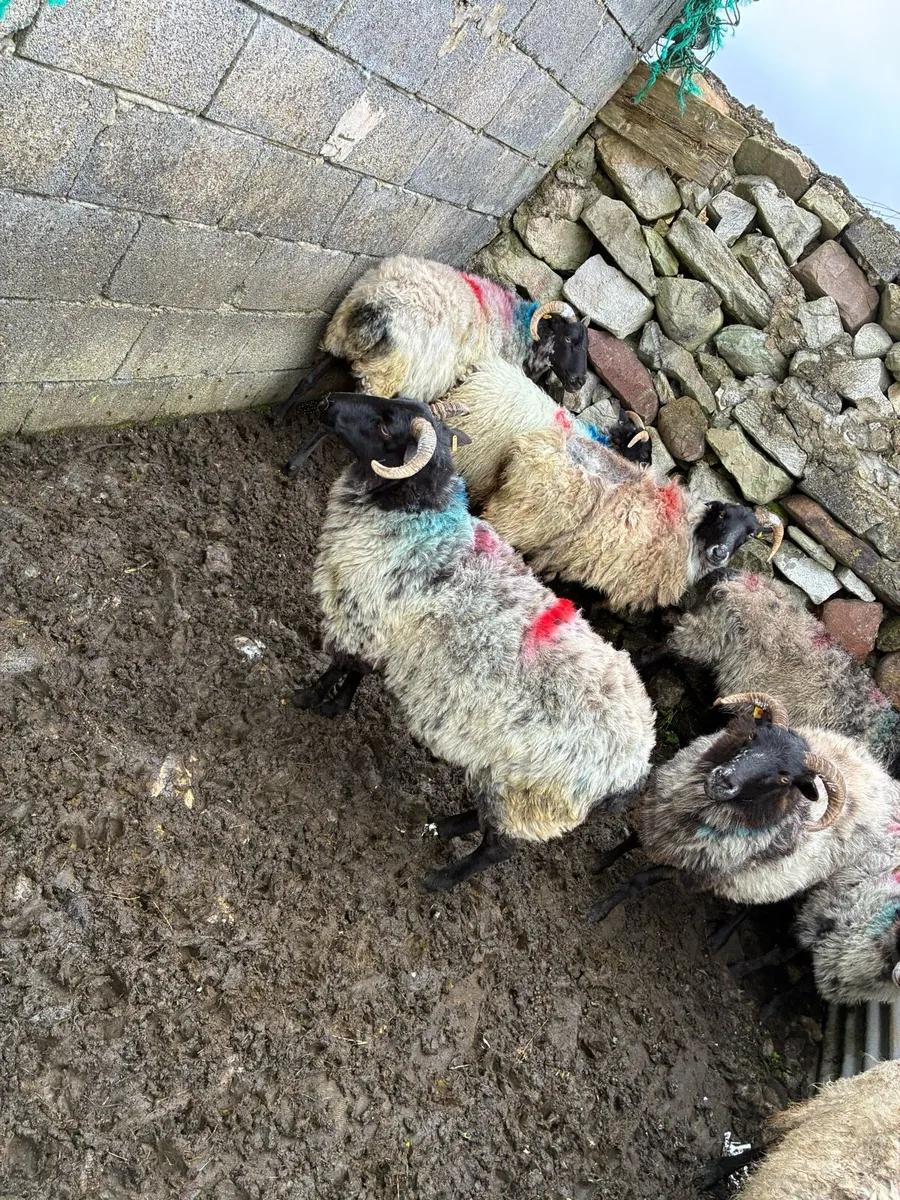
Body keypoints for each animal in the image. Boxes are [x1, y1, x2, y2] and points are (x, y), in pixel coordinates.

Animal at [275, 255, 589, 420]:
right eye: (568, 339)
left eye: (586, 345)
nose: (580, 382)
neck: (514, 330)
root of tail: (379, 304)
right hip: (385, 373)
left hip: (341, 335)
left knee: (308, 380)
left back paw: (276, 418)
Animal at [286, 390, 656, 892]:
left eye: (385, 426)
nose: (327, 401)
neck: (418, 519)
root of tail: (638, 764)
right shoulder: (379, 629)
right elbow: (359, 674)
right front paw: (336, 706)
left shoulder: (361, 618)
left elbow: (339, 666)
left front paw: (307, 699)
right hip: (507, 780)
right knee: (485, 820)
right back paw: (441, 826)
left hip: (534, 799)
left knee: (498, 849)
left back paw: (441, 879)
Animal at [477, 424, 782, 613]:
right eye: (720, 515)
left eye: (750, 534)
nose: (720, 553)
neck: (690, 536)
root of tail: (526, 446)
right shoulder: (627, 586)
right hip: (522, 516)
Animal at [590, 693, 899, 921]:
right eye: (754, 736)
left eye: (785, 778)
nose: (723, 780)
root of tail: (880, 773)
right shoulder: (660, 816)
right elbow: (631, 839)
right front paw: (600, 862)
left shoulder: (695, 873)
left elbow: (639, 880)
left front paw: (600, 910)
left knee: (750, 907)